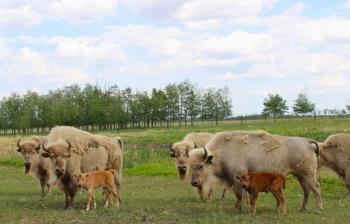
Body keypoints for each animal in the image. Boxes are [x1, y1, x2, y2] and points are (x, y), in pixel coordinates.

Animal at [189, 131, 322, 214]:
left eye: (200, 166)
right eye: (191, 166)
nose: (193, 182)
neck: (222, 154)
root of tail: (306, 141)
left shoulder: (238, 179)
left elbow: (239, 195)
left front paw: (237, 210)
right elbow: (241, 196)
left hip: (309, 175)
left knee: (316, 188)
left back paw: (318, 209)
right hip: (301, 176)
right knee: (306, 190)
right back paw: (303, 208)